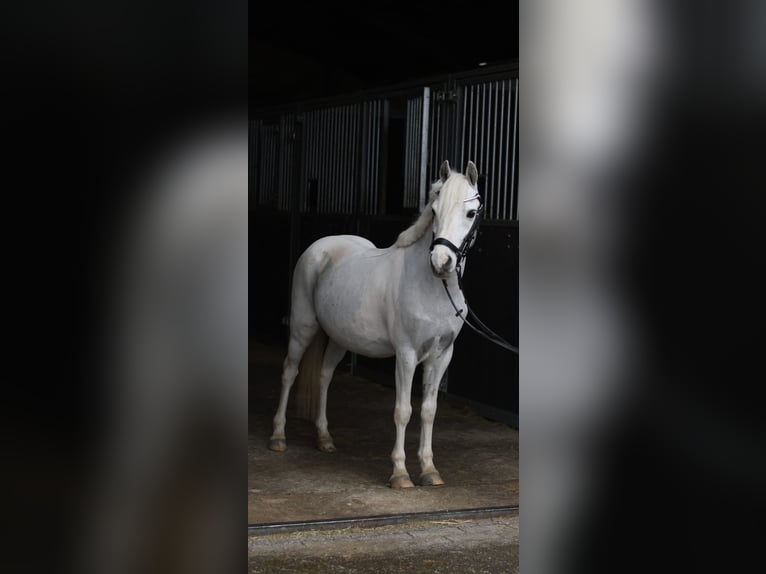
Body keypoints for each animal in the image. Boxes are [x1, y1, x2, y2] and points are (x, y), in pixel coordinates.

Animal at [269, 160, 483, 488]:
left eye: (471, 213)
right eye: (434, 211)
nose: (441, 262)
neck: (433, 288)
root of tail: (320, 246)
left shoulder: (442, 355)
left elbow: (429, 411)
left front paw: (429, 469)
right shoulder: (406, 355)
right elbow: (403, 411)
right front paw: (400, 473)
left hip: (340, 338)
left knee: (324, 375)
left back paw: (324, 438)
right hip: (303, 328)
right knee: (289, 372)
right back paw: (278, 437)